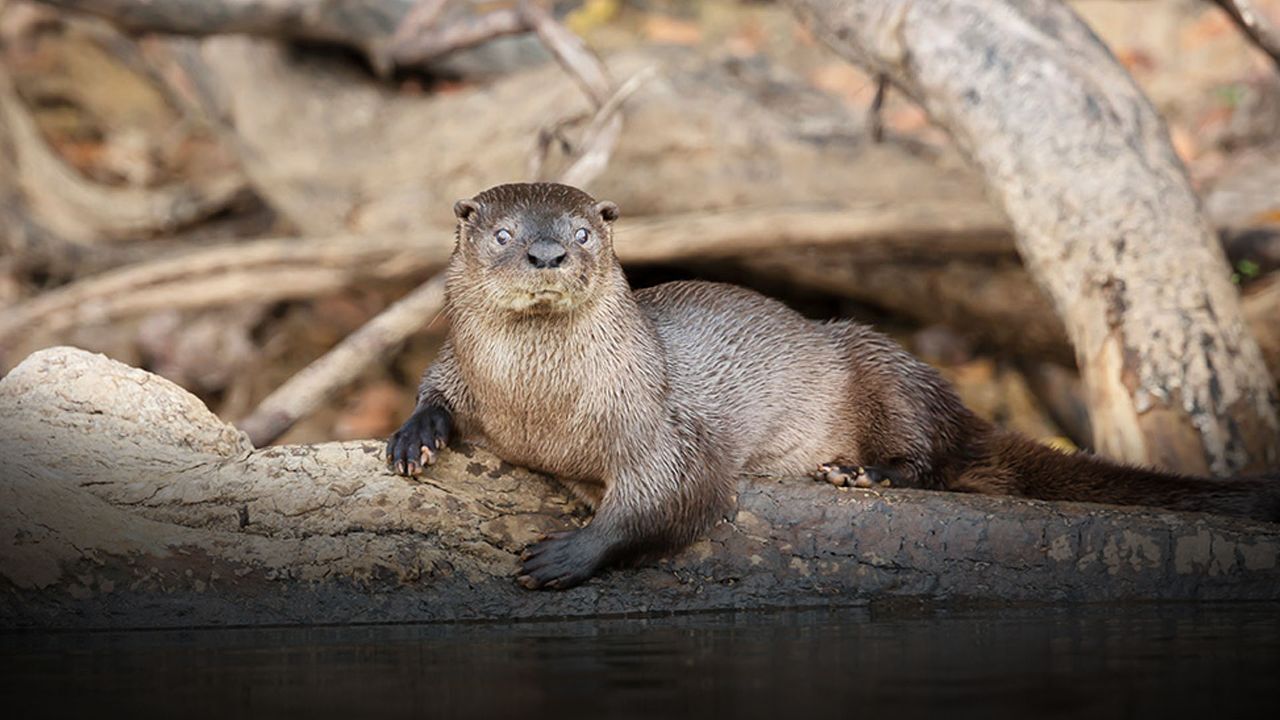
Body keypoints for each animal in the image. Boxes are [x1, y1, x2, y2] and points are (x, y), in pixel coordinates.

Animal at [386, 180, 1280, 589]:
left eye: (578, 232)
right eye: (505, 232)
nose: (546, 255)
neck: (539, 409)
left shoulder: (658, 422)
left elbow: (675, 497)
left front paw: (569, 554)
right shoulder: (463, 370)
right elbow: (435, 384)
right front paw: (414, 435)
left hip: (875, 361)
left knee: (932, 455)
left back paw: (861, 472)